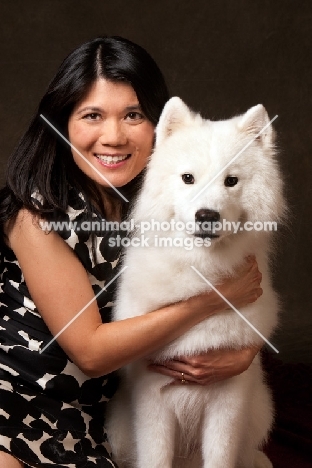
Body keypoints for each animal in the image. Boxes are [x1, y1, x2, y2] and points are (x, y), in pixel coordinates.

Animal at [106, 98, 286, 468]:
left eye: (231, 181)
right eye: (188, 178)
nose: (207, 216)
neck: (202, 273)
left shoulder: (229, 398)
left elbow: (221, 457)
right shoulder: (152, 397)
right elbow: (156, 458)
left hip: (259, 408)